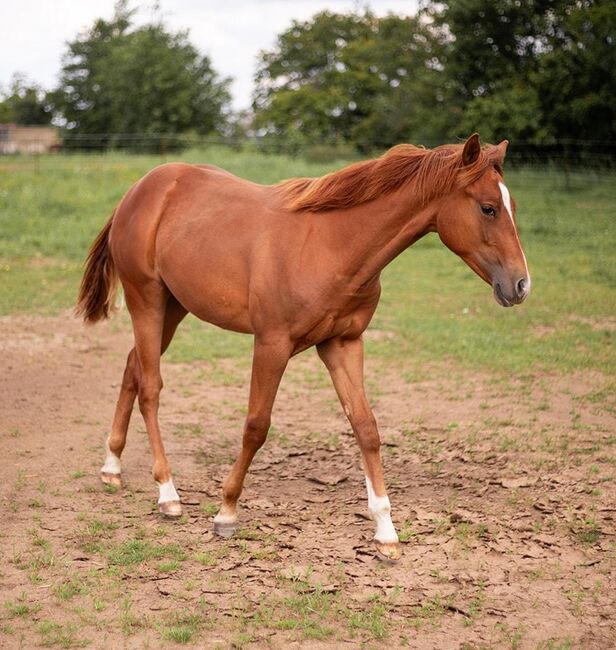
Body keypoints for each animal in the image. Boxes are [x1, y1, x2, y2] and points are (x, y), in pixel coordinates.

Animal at [76, 133, 528, 556]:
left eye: (512, 206)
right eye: (488, 208)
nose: (521, 285)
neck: (332, 244)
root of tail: (140, 190)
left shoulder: (343, 344)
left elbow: (366, 428)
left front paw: (386, 531)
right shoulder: (272, 344)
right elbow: (256, 426)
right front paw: (226, 512)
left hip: (174, 307)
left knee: (133, 367)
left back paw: (112, 466)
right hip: (147, 300)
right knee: (150, 386)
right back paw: (167, 492)